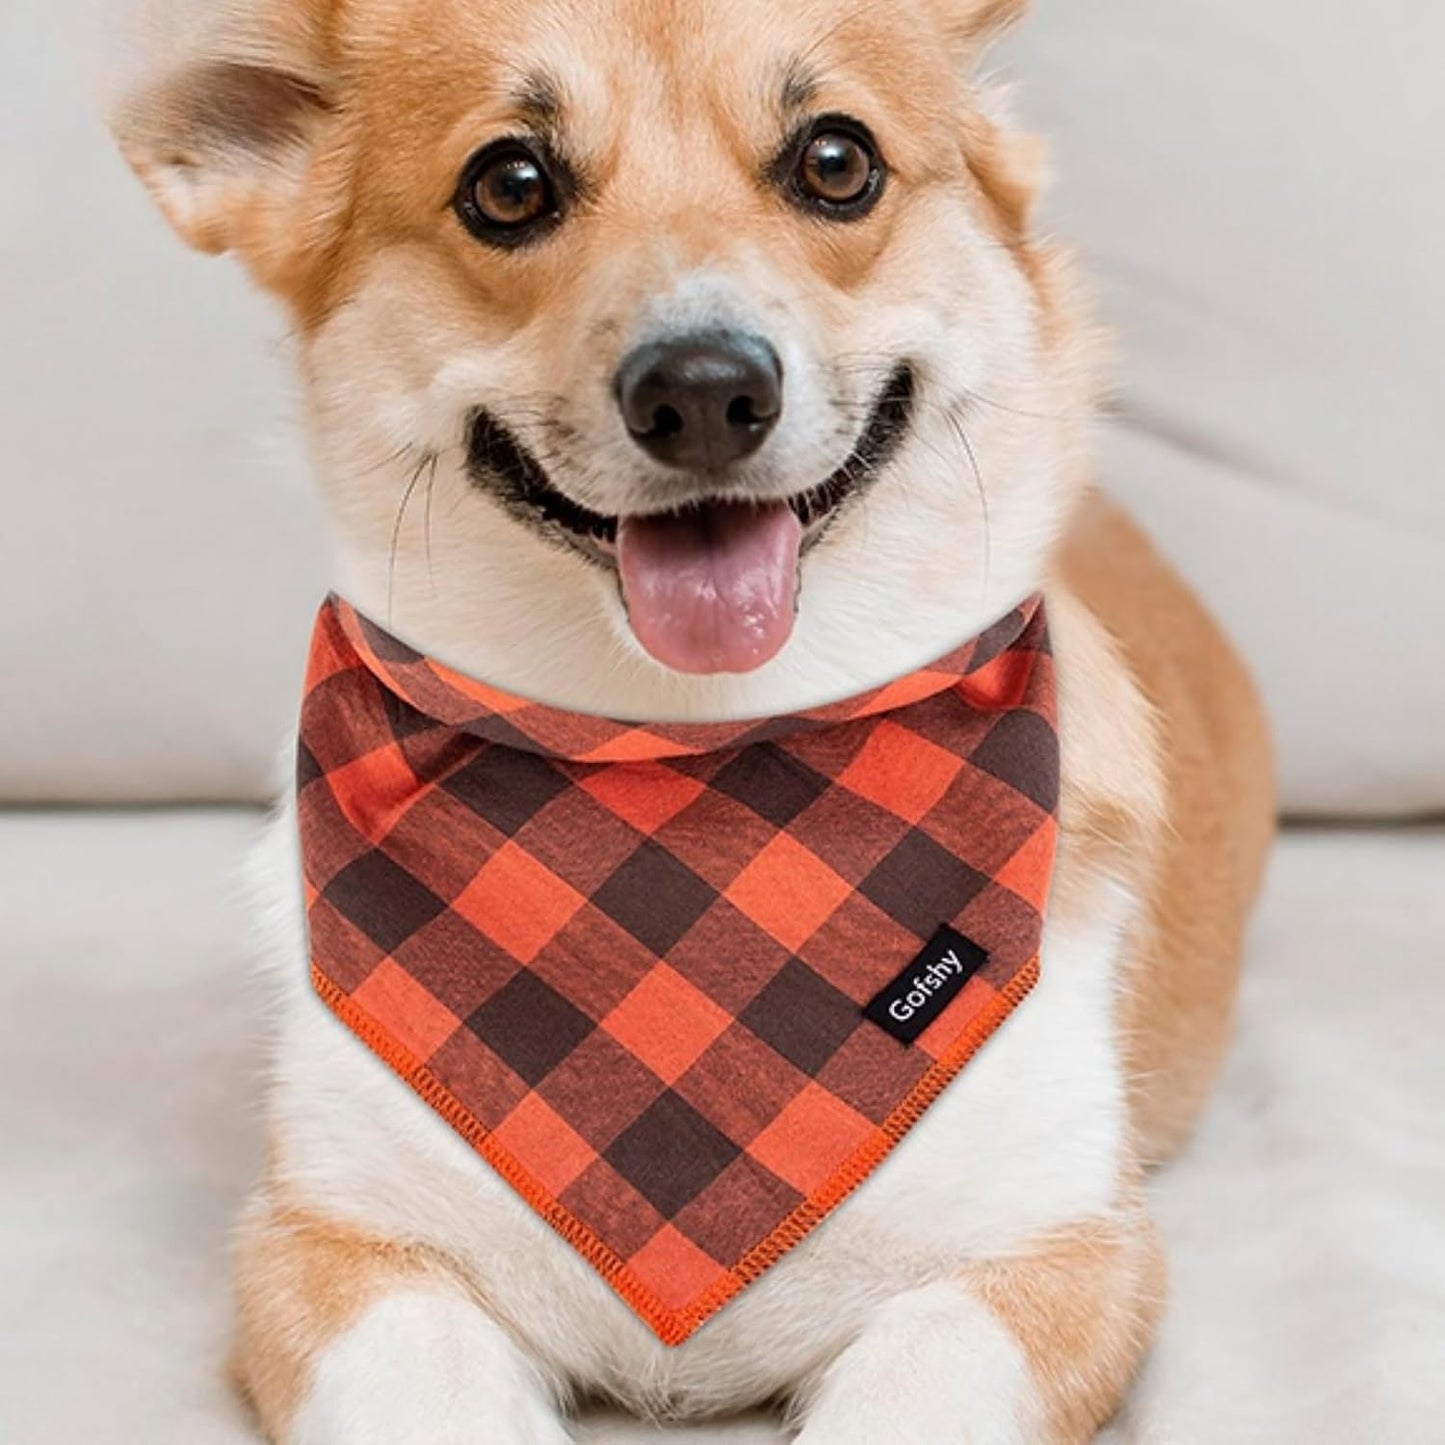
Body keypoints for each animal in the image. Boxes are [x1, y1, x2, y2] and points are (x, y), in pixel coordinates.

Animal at [115, 2, 1277, 1433]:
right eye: (509, 185)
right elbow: (419, 1379)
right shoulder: (333, 1244)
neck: (689, 757)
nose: (707, 391)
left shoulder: (1048, 1252)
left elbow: (918, 1379)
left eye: (836, 161)